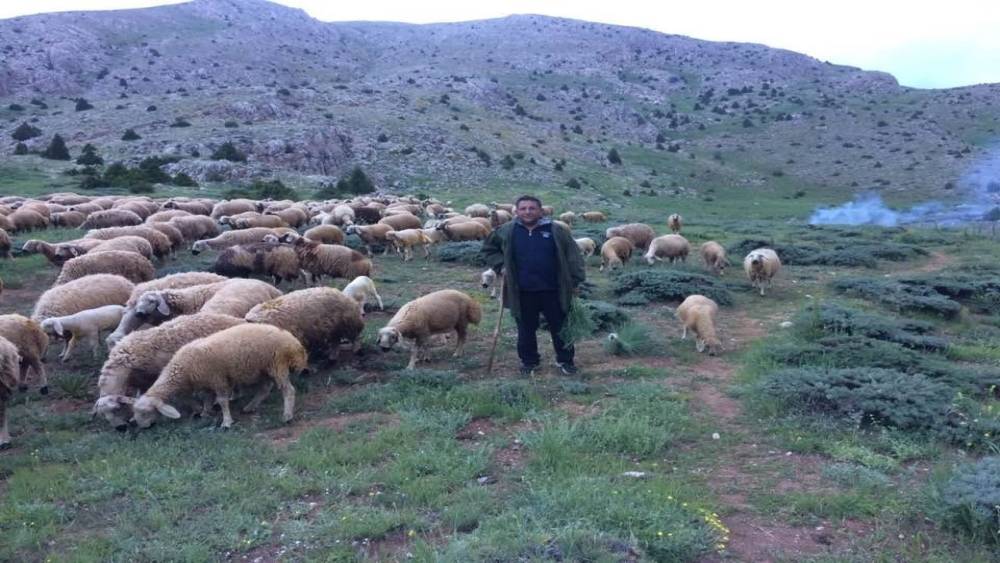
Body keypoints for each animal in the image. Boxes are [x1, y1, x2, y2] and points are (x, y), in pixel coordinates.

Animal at [94, 312, 247, 428]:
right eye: (103, 415)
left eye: (117, 409)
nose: (120, 428)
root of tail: (236, 320)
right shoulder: (141, 381)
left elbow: (183, 396)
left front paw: (197, 410)